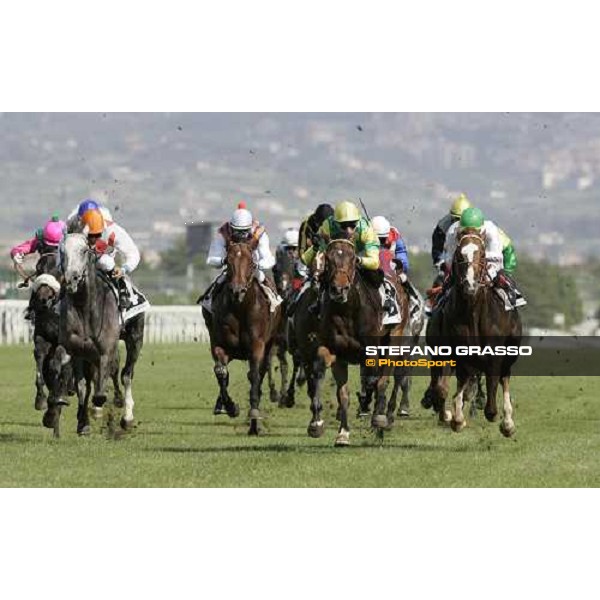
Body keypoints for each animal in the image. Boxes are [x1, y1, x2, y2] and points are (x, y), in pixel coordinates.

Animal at [203, 240, 282, 436]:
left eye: (251, 263)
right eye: (228, 261)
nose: (237, 291)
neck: (239, 308)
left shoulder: (257, 345)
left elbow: (254, 375)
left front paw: (254, 414)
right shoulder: (220, 345)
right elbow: (220, 371)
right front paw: (230, 407)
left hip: (271, 343)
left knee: (261, 371)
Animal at [310, 239, 408, 446]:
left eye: (353, 259)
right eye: (328, 259)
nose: (339, 289)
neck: (347, 311)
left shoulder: (371, 350)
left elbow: (374, 380)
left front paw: (375, 414)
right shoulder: (335, 351)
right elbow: (340, 391)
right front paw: (329, 428)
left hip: (395, 336)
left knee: (384, 377)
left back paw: (380, 419)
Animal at [424, 227, 524, 438]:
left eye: (483, 254)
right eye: (459, 255)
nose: (470, 285)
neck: (473, 312)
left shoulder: (495, 354)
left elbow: (492, 384)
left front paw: (493, 414)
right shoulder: (457, 352)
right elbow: (448, 387)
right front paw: (455, 418)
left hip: (509, 354)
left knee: (504, 378)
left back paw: (507, 422)